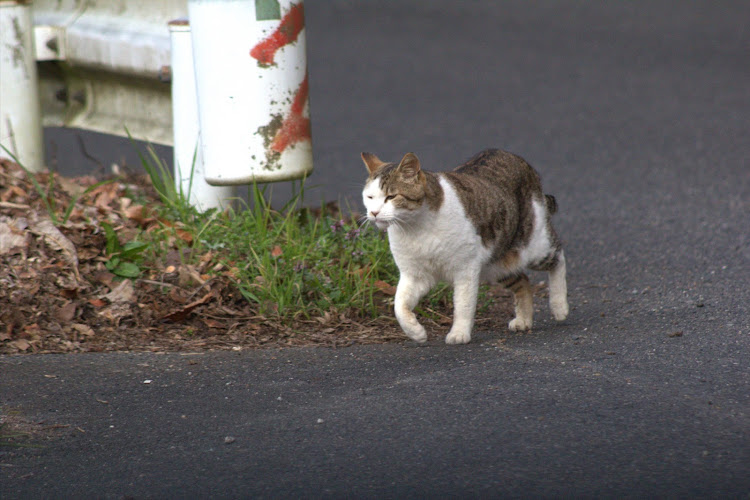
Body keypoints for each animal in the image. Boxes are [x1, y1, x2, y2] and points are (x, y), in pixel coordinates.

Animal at [362, 148, 568, 344]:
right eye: (369, 197)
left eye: (391, 197)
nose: (373, 213)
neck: (415, 229)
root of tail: (518, 160)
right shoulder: (415, 275)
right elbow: (399, 305)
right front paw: (416, 332)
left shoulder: (465, 269)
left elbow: (463, 304)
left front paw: (459, 333)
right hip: (498, 264)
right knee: (523, 281)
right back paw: (524, 320)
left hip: (535, 246)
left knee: (558, 257)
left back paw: (559, 306)